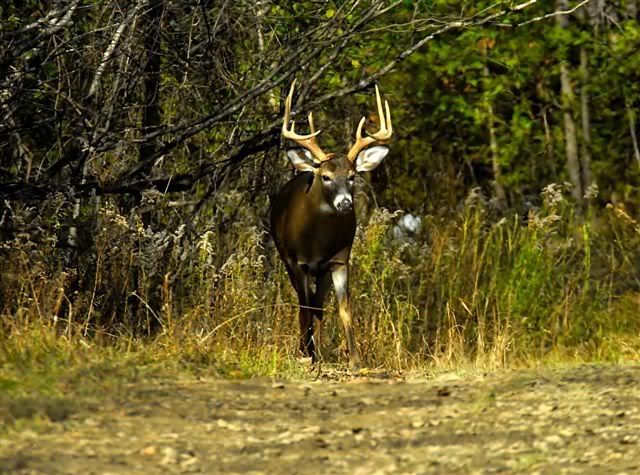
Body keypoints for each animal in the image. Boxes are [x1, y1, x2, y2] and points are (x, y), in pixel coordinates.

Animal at [268, 82, 392, 370]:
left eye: (352, 176)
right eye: (325, 177)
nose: (345, 203)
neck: (317, 243)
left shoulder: (338, 260)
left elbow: (344, 308)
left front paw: (355, 360)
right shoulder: (297, 262)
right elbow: (304, 308)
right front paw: (305, 355)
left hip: (322, 271)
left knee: (318, 304)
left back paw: (317, 351)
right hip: (286, 258)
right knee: (306, 303)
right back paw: (307, 350)